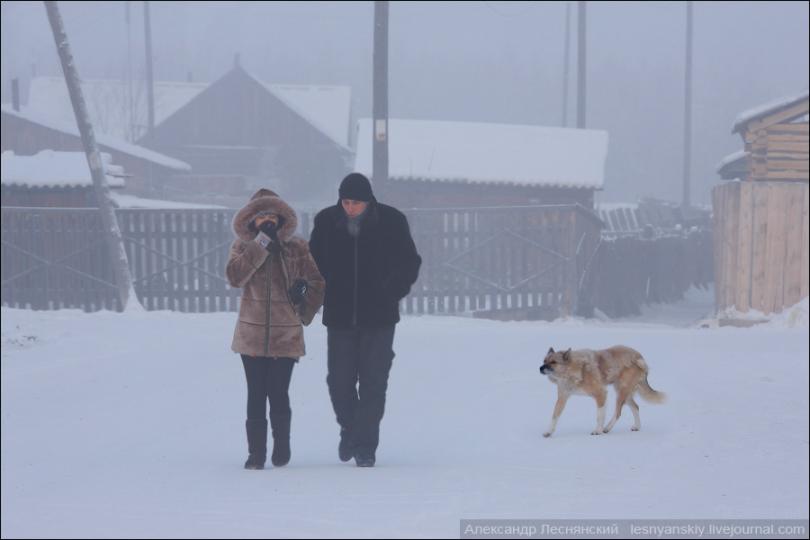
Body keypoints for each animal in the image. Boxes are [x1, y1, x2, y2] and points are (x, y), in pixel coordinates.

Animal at [536, 346, 664, 438]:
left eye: (553, 362)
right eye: (544, 361)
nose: (540, 368)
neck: (575, 370)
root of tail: (639, 357)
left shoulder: (601, 394)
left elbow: (599, 415)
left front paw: (598, 431)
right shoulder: (562, 397)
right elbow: (554, 416)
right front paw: (548, 432)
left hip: (621, 392)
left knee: (618, 412)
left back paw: (607, 428)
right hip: (625, 394)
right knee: (636, 407)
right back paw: (637, 427)